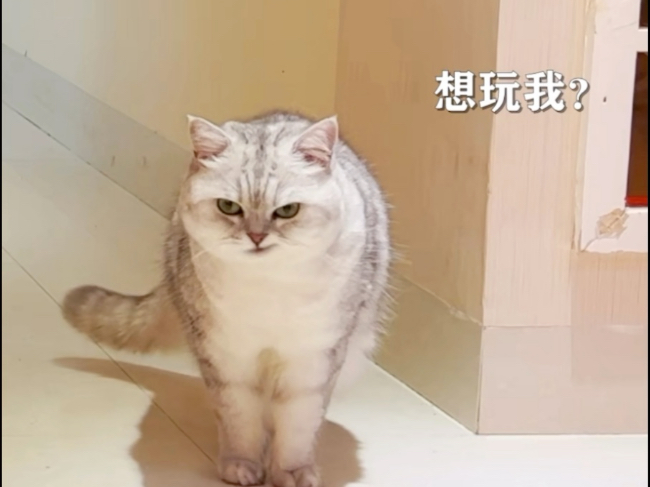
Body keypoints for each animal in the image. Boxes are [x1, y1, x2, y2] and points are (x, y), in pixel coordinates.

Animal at [62, 112, 392, 487]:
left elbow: (299, 424)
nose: (257, 236)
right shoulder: (225, 356)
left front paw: (291, 471)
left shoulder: (313, 360)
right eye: (228, 207)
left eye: (288, 211)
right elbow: (239, 418)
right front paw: (241, 465)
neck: (269, 288)